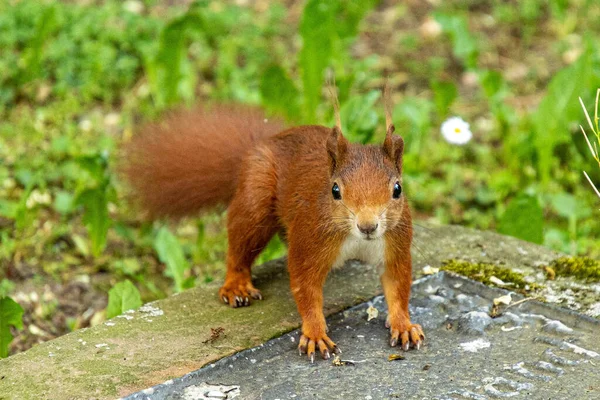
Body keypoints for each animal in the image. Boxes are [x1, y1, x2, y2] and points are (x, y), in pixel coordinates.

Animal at [123, 97, 422, 362]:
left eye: (397, 189)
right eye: (335, 190)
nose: (368, 226)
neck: (357, 239)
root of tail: (259, 145)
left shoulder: (395, 244)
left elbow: (398, 284)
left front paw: (404, 325)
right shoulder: (308, 240)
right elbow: (305, 287)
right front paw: (315, 333)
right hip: (256, 200)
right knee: (239, 246)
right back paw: (236, 285)